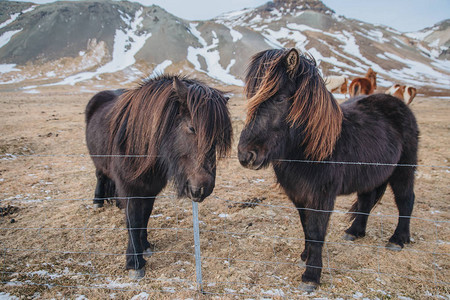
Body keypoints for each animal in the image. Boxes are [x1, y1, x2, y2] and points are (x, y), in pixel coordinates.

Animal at [85, 74, 232, 278]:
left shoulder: (151, 189)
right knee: (100, 175)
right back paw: (97, 201)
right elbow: (133, 220)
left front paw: (145, 245)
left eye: (218, 136)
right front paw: (135, 263)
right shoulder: (130, 189)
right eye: (192, 128)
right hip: (98, 161)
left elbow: (145, 216)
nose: (203, 188)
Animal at [239, 48, 418, 290]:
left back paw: (398, 240)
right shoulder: (299, 196)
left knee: (405, 199)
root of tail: (399, 104)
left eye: (280, 98)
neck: (312, 150)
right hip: (370, 174)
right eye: (251, 96)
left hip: (403, 171)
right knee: (366, 200)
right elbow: (306, 226)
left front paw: (311, 276)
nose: (245, 155)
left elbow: (316, 231)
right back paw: (354, 232)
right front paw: (305, 256)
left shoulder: (321, 197)